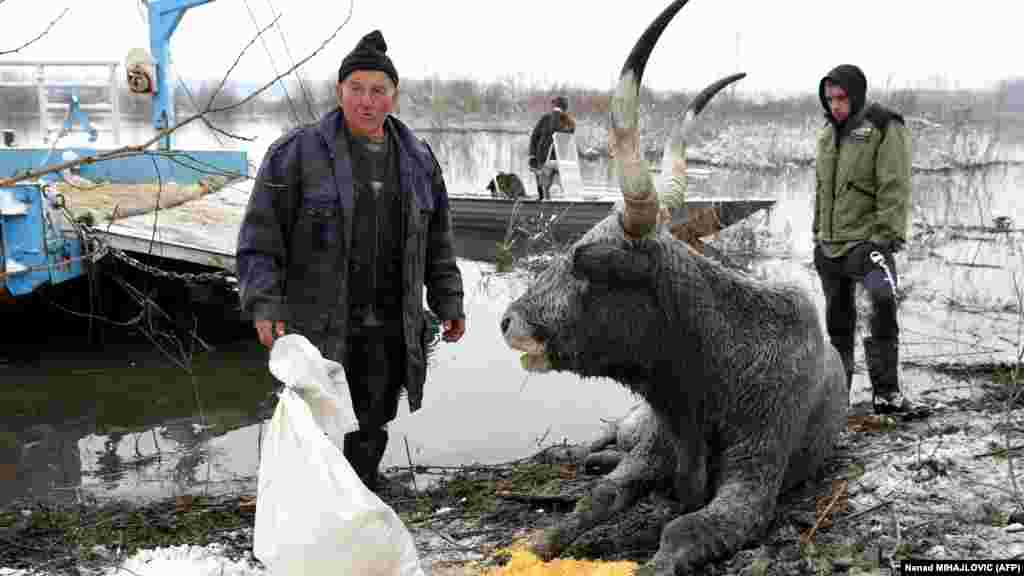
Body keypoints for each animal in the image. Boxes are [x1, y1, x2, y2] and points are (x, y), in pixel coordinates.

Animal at [497, 2, 847, 569]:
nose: (509, 321)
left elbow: (683, 529)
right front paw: (536, 546)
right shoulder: (651, 449)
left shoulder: (754, 481)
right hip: (630, 426)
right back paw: (584, 453)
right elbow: (598, 499)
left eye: (585, 265)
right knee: (605, 441)